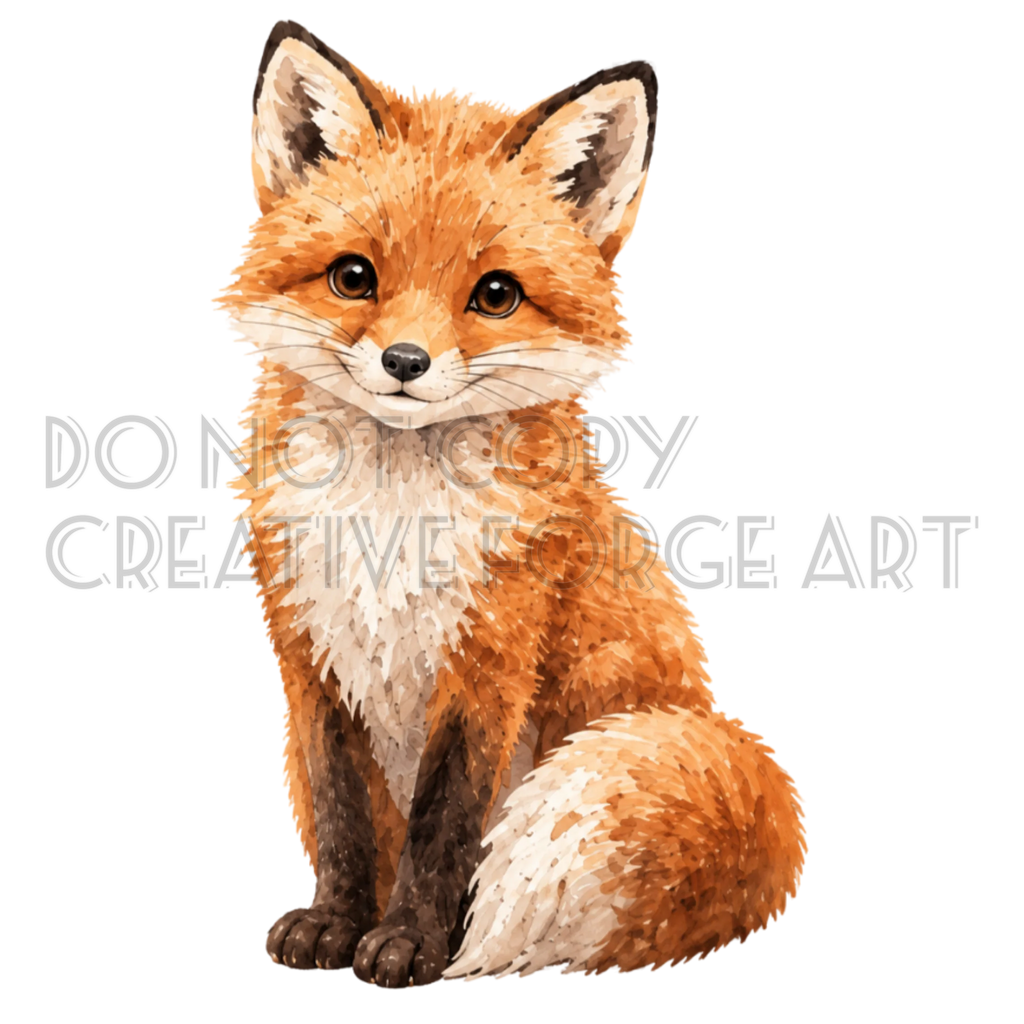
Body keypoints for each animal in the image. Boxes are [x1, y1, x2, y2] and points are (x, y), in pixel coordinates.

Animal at [210, 17, 809, 988]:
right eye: (352, 277)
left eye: (495, 295)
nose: (405, 362)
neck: (392, 522)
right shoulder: (310, 658)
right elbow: (343, 820)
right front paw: (335, 925)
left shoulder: (492, 659)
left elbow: (444, 826)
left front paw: (412, 944)